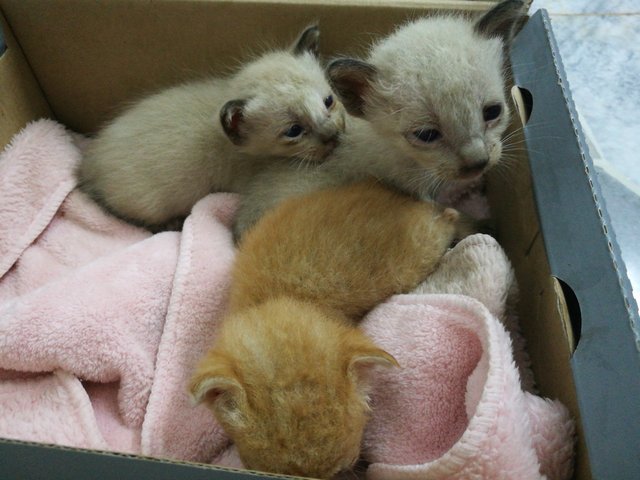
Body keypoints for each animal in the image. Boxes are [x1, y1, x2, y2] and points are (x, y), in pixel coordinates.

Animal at [232, 0, 528, 238]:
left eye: (492, 112)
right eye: (427, 135)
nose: (478, 163)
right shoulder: (415, 190)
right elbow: (450, 212)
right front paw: (481, 223)